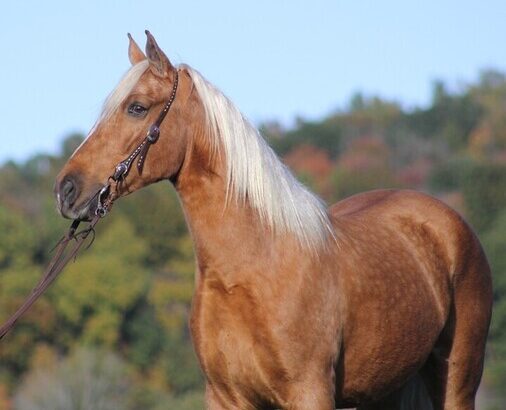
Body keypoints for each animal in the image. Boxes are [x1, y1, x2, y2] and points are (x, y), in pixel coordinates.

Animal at [54, 32, 490, 410]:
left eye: (137, 107)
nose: (66, 190)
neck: (253, 268)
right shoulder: (225, 397)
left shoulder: (310, 392)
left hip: (457, 381)